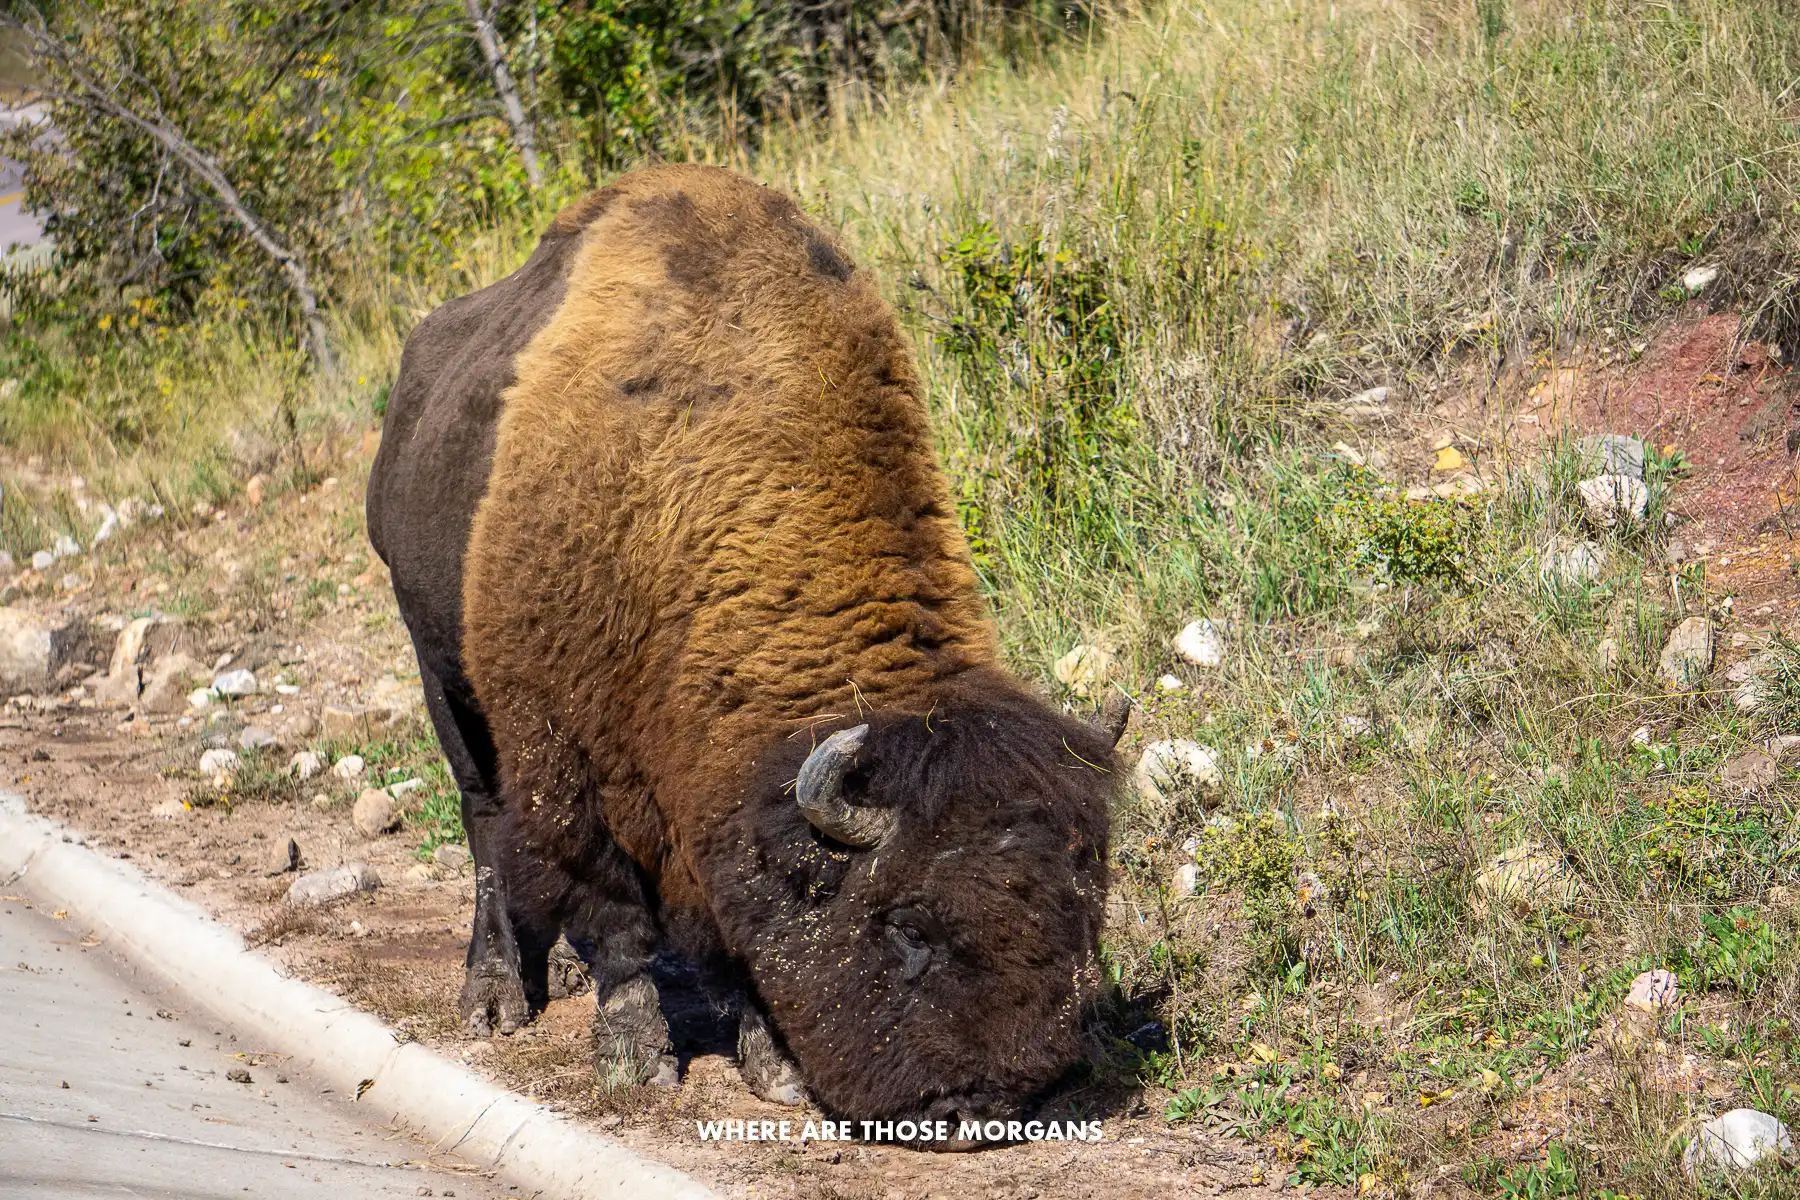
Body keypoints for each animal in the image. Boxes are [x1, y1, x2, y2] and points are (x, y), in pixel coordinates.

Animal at [367, 164, 1123, 1129]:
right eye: (905, 923)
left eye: (1085, 910)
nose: (992, 1100)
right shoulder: (568, 754)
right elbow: (619, 912)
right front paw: (638, 1054)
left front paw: (775, 1064)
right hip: (442, 674)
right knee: (485, 824)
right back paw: (496, 997)